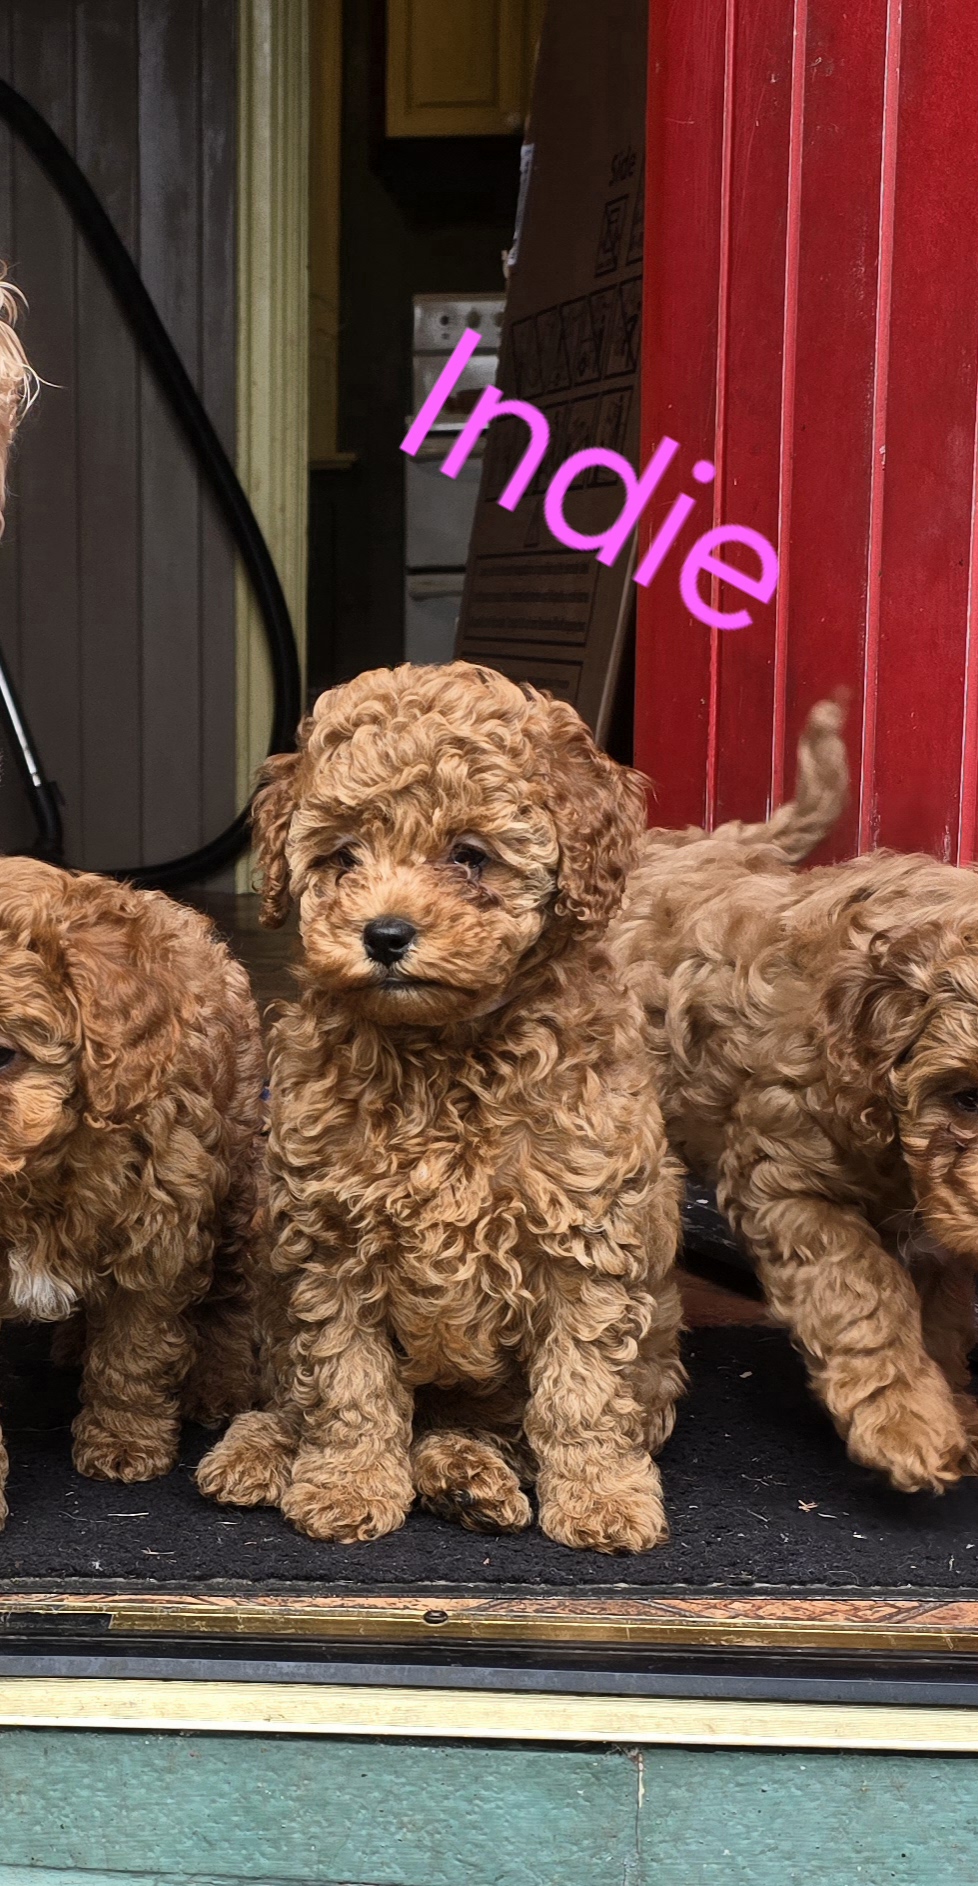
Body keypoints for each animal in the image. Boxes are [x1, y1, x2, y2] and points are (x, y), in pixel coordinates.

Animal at [0, 858, 265, 1526]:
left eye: (2, 1056)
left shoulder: (159, 1230)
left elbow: (134, 1351)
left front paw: (125, 1442)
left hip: (236, 1179)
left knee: (229, 1302)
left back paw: (220, 1389)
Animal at [197, 661, 685, 1552]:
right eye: (343, 856)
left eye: (469, 856)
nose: (384, 935)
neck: (441, 1056)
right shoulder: (330, 1242)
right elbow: (347, 1382)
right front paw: (347, 1485)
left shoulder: (586, 1239)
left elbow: (584, 1389)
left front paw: (602, 1497)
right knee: (294, 1393)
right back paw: (261, 1451)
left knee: (489, 1428)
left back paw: (469, 1478)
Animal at [613, 700, 978, 1494]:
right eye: (965, 1097)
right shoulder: (787, 1183)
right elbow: (864, 1289)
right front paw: (907, 1419)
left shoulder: (946, 1226)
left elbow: (941, 1307)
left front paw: (948, 1401)